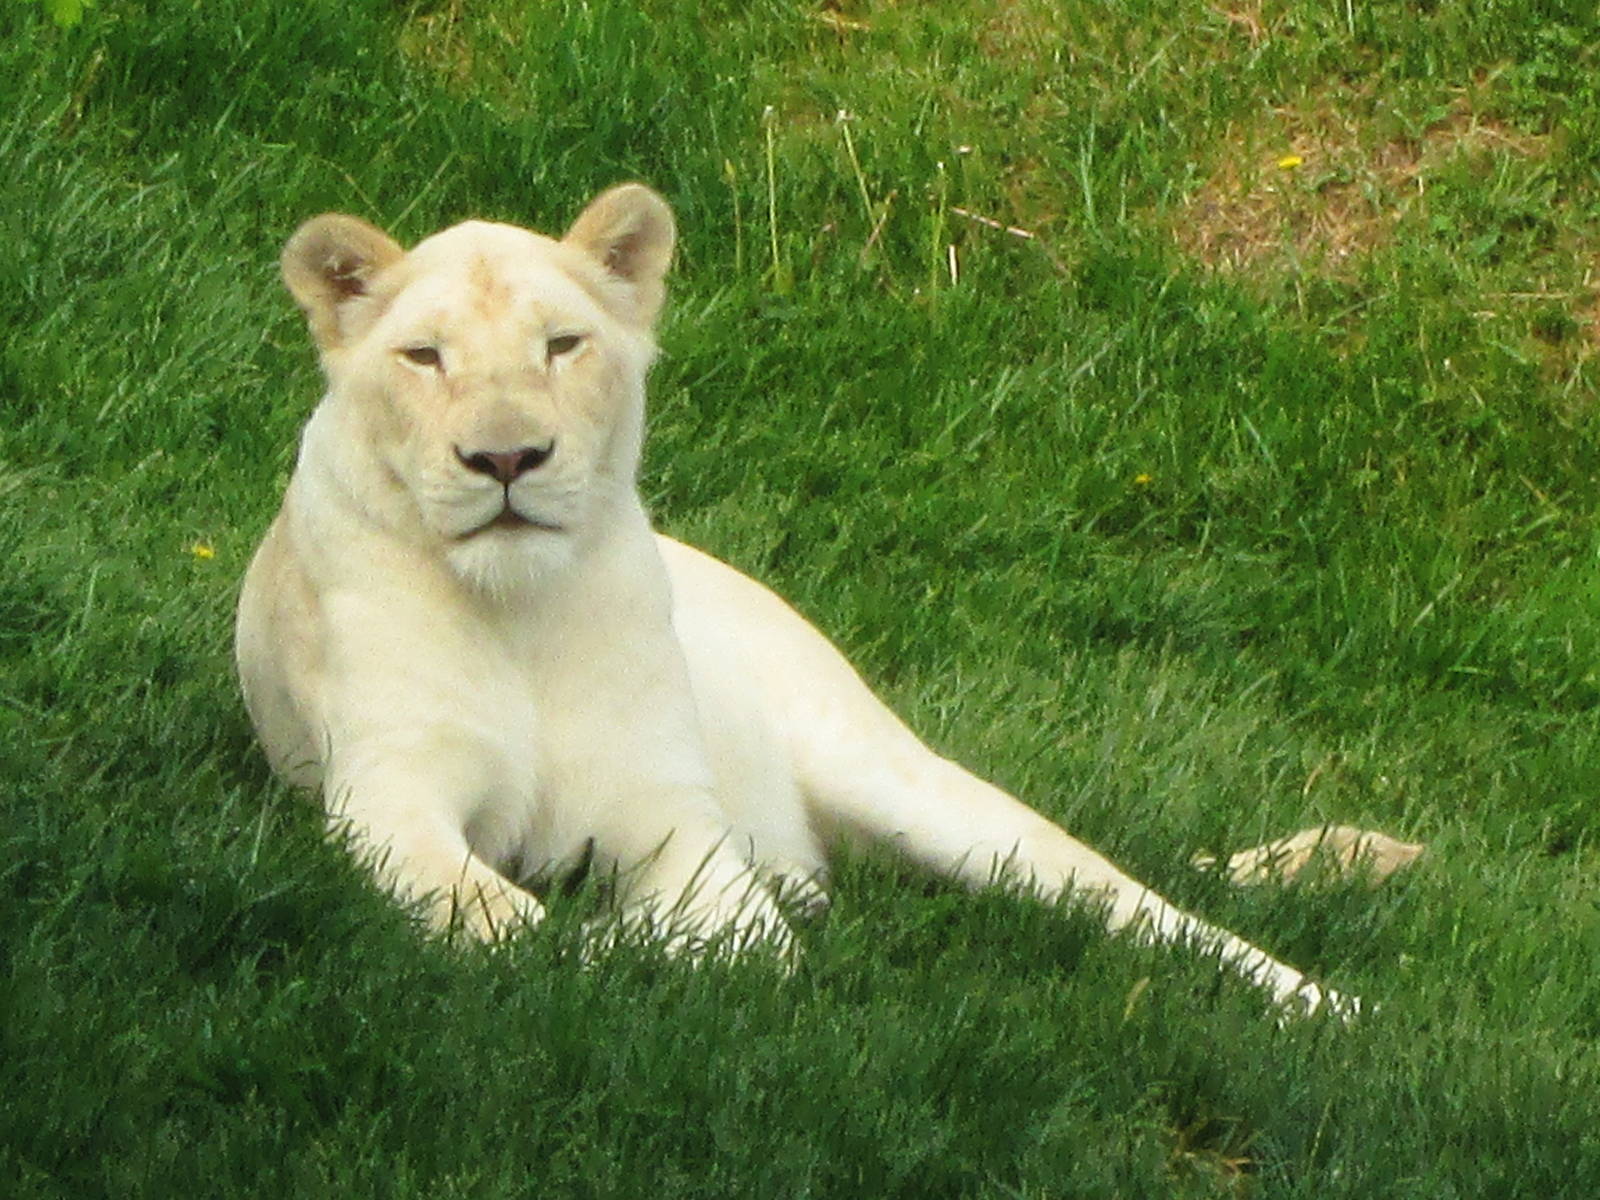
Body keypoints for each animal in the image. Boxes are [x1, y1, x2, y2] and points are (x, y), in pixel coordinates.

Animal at [236, 183, 1357, 1015]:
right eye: (424, 356)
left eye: (561, 345)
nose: (507, 458)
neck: (521, 613)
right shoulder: (386, 800)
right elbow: (497, 921)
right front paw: (589, 936)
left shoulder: (668, 813)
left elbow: (730, 937)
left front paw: (648, 937)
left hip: (908, 784)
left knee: (1132, 904)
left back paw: (1327, 1009)